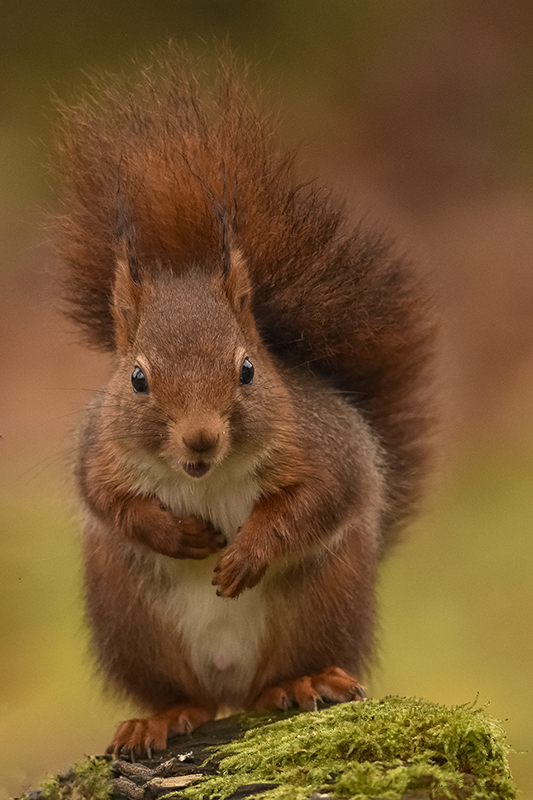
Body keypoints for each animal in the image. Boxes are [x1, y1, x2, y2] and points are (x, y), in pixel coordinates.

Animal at [52, 45, 436, 756]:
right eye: (137, 379)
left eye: (250, 370)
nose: (201, 437)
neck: (205, 476)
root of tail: (231, 682)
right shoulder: (100, 451)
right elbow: (109, 500)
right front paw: (172, 532)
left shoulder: (323, 444)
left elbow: (320, 498)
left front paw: (248, 552)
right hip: (132, 621)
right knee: (188, 695)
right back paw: (162, 717)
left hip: (322, 601)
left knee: (274, 678)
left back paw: (298, 683)